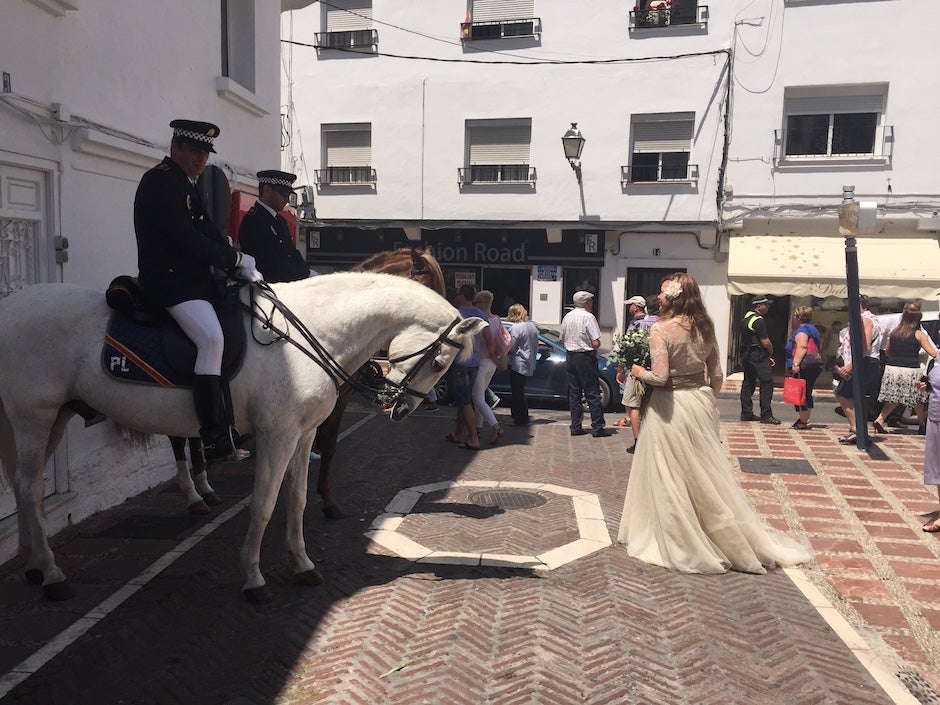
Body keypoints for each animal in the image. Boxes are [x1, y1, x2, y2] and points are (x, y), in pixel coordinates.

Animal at [171, 248, 446, 516]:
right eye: (428, 287)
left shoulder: (338, 400)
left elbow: (330, 444)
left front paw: (327, 498)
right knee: (179, 440)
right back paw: (195, 494)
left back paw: (205, 488)